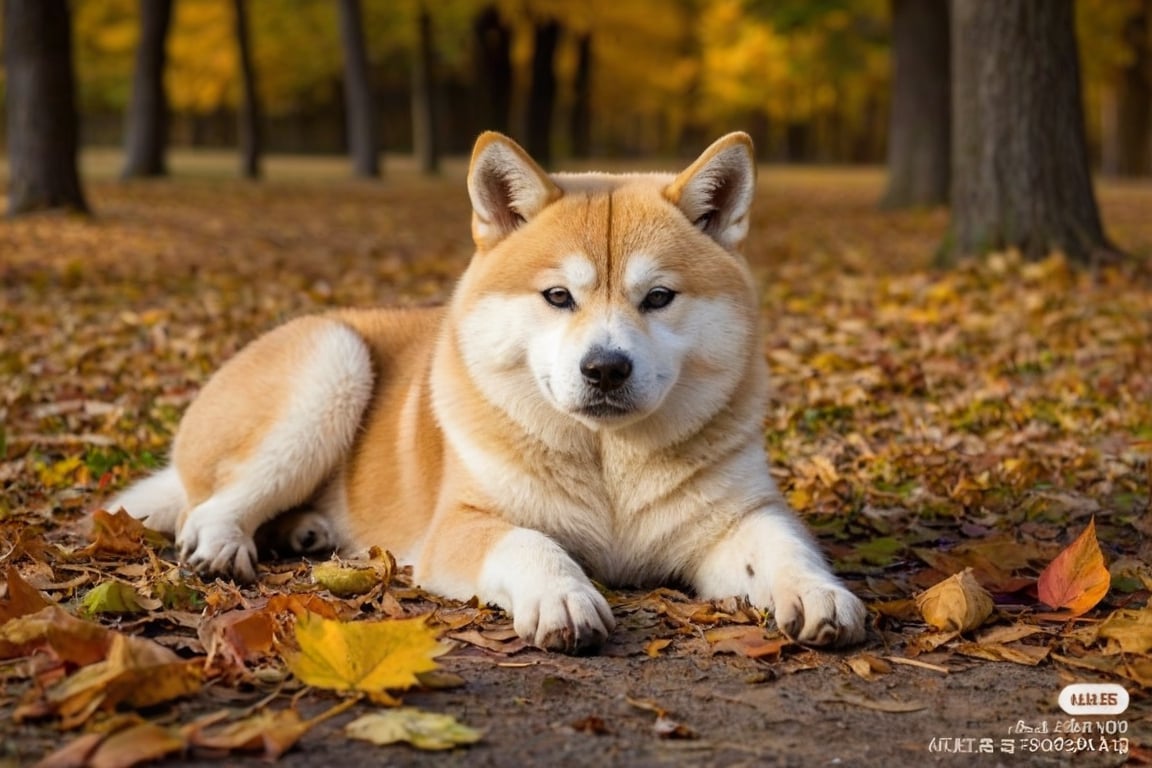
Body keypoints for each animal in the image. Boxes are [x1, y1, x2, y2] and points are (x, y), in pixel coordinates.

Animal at [110, 132, 866, 654]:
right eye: (558, 296)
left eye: (658, 298)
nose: (606, 368)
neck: (607, 467)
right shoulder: (463, 525)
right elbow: (530, 543)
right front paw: (563, 597)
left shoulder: (736, 521)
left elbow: (782, 546)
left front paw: (819, 592)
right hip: (335, 362)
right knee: (208, 506)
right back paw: (226, 544)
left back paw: (308, 529)